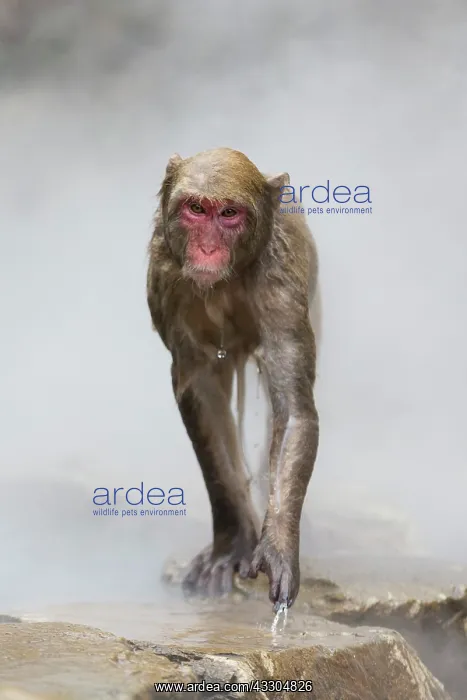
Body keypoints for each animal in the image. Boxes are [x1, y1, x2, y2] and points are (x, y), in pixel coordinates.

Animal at [147, 148, 319, 611]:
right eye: (196, 209)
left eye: (229, 214)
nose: (207, 248)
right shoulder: (167, 280)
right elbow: (200, 390)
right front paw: (232, 546)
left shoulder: (281, 285)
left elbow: (293, 412)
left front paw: (277, 545)